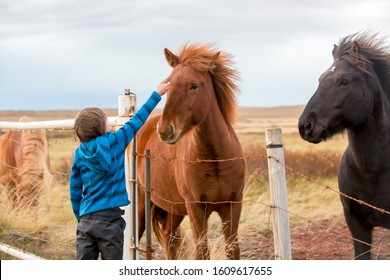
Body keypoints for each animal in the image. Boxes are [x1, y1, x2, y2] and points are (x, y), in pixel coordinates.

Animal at [137, 43, 245, 260]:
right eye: (168, 84)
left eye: (194, 85)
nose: (165, 130)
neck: (215, 158)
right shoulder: (196, 208)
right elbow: (201, 252)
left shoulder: (233, 204)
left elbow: (232, 250)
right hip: (141, 206)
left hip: (174, 210)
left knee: (169, 238)